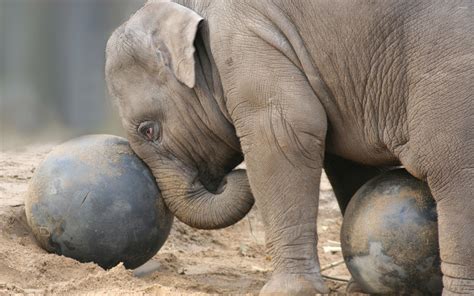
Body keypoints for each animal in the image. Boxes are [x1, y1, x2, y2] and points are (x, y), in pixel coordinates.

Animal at [105, 1, 472, 294]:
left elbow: (281, 139)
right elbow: (348, 164)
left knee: (453, 175)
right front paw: (356, 288)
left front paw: (288, 291)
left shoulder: (248, 46)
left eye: (148, 130)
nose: (229, 178)